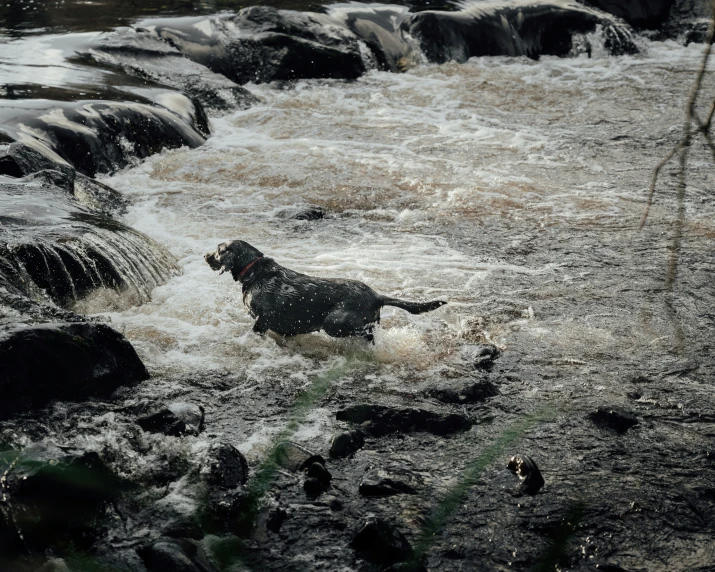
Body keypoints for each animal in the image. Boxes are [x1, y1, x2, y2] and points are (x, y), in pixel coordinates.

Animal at [204, 240, 444, 340]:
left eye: (219, 250)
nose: (205, 255)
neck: (256, 272)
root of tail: (377, 296)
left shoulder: (262, 321)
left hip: (334, 324)